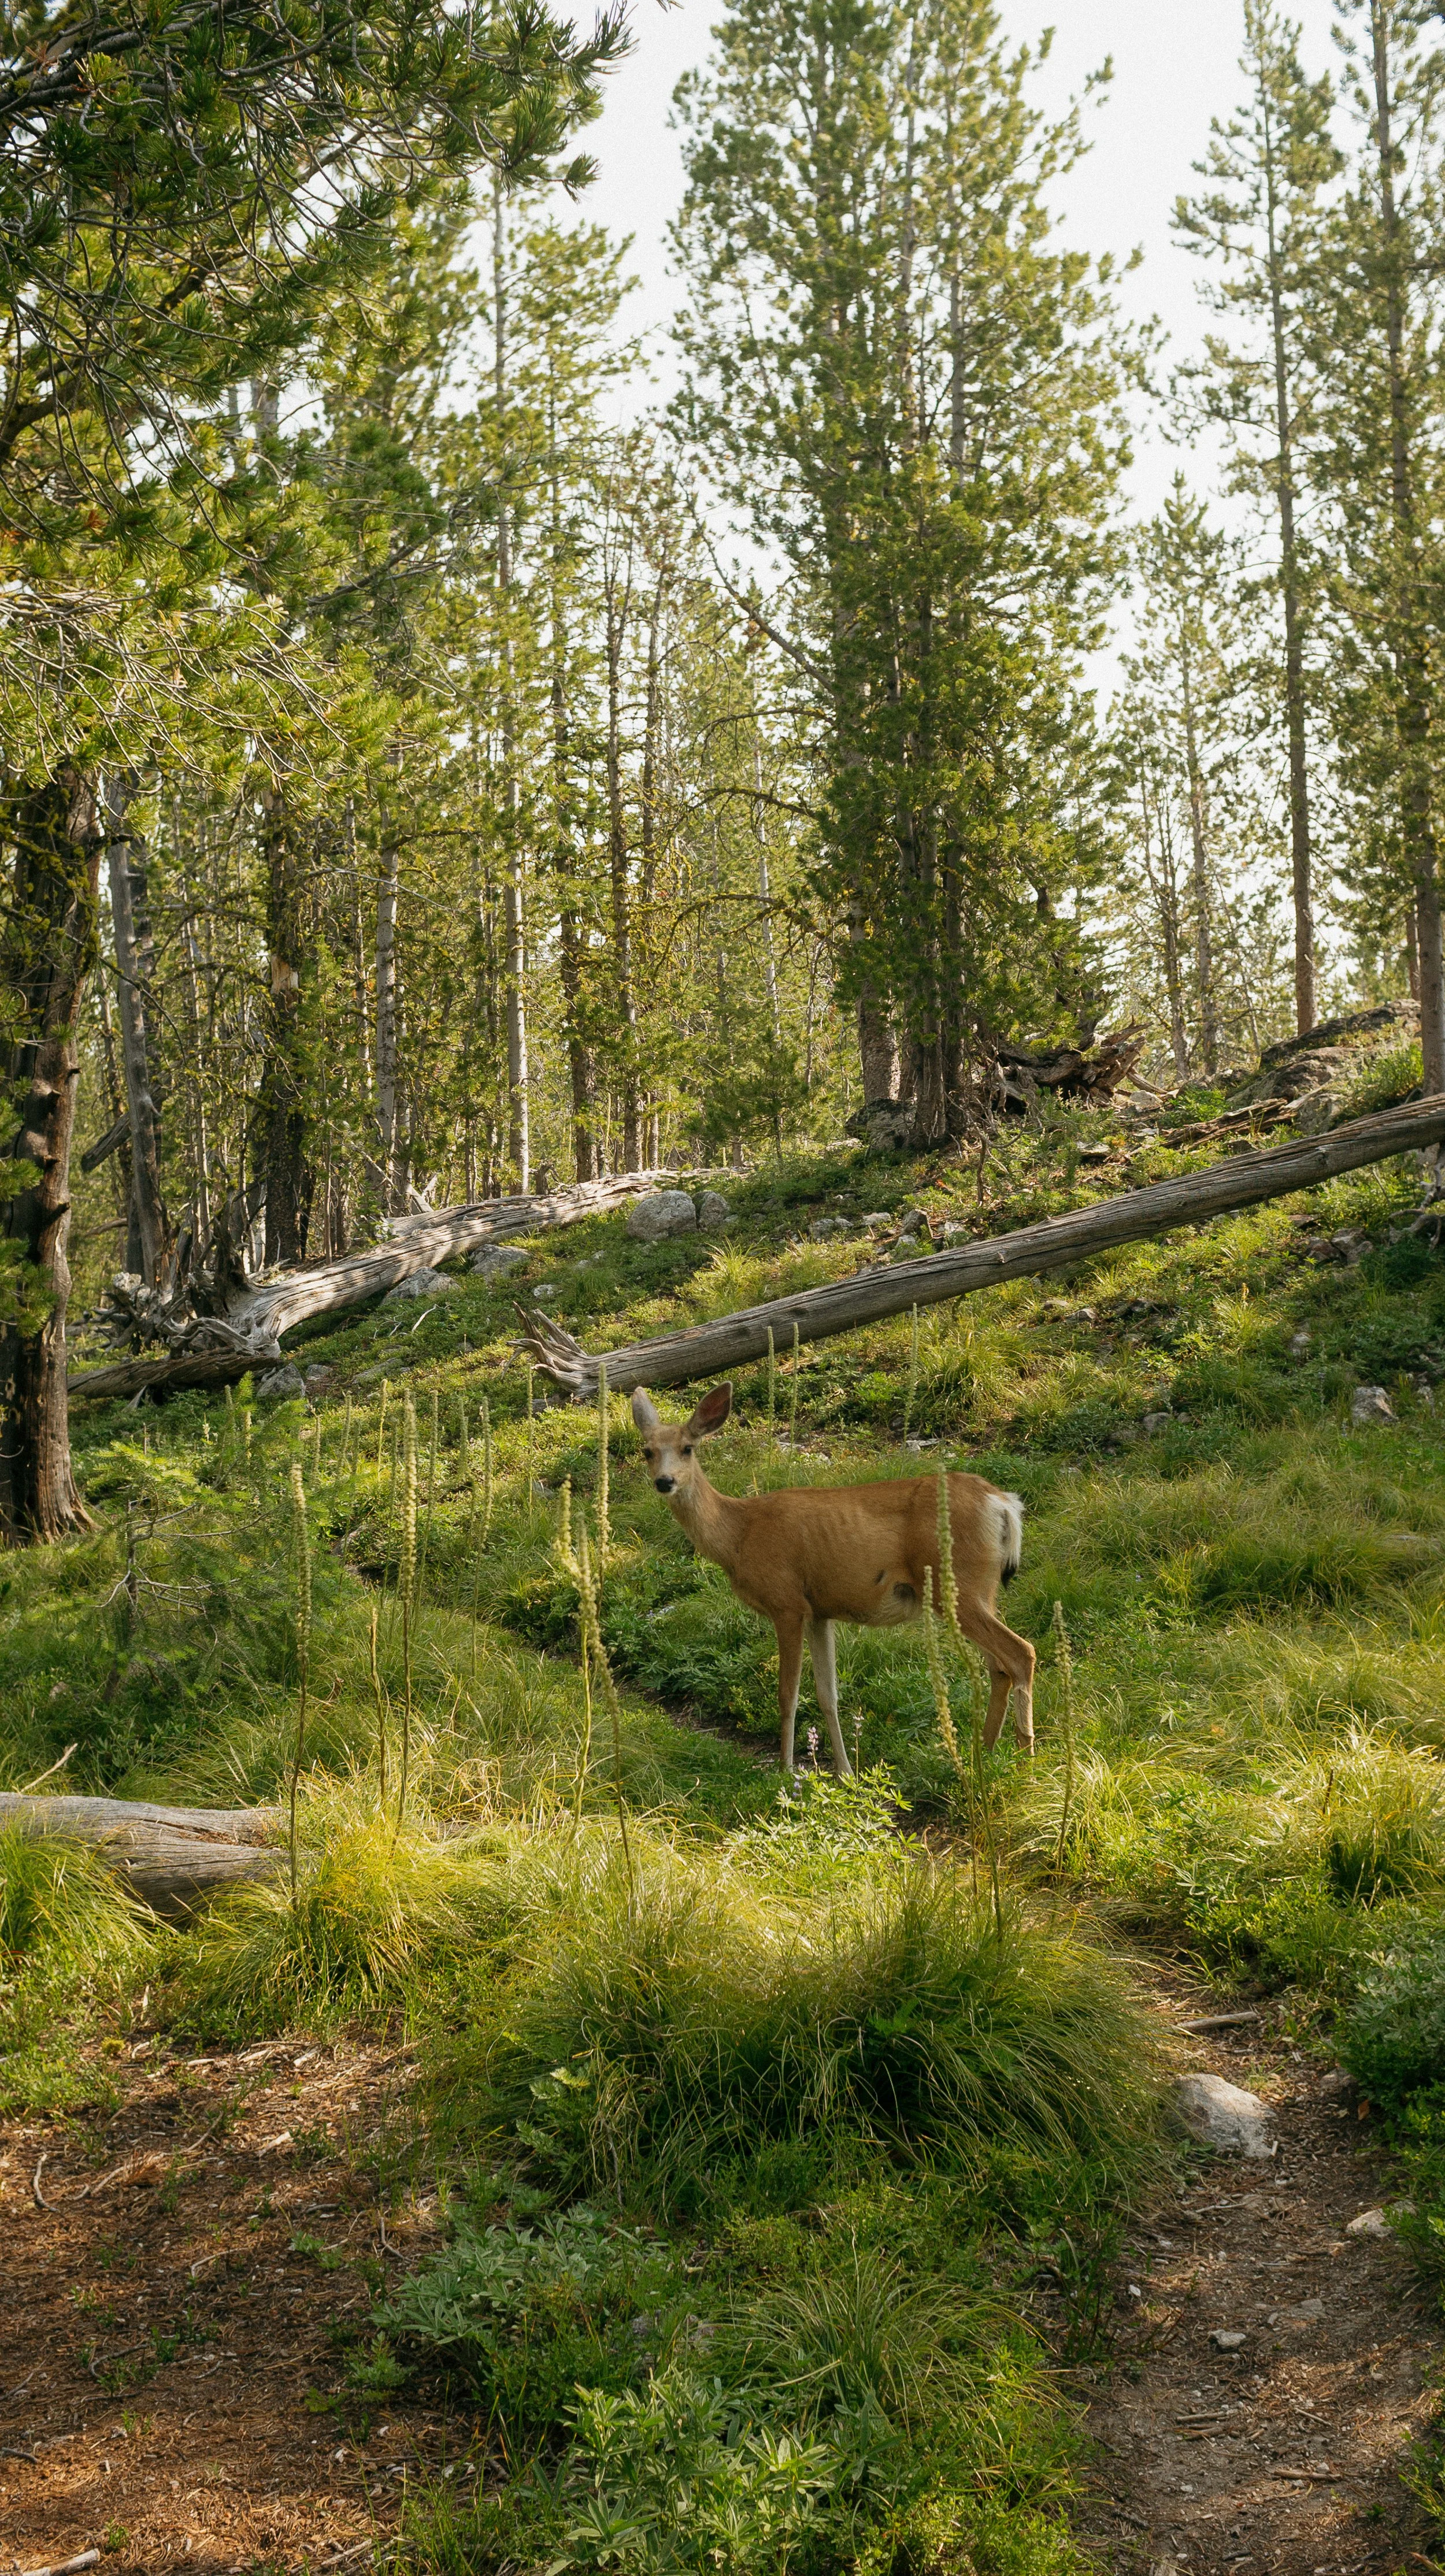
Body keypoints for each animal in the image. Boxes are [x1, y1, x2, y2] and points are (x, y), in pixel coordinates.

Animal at [631, 1382, 1035, 1776]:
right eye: (647, 1451)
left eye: (687, 1448)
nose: (665, 1481)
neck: (739, 1536)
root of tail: (1003, 1503)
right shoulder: (819, 1611)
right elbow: (828, 1694)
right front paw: (845, 1772)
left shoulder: (787, 1603)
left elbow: (788, 1694)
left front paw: (785, 1770)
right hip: (981, 1590)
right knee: (998, 1666)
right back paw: (985, 1754)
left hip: (955, 1584)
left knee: (1020, 1652)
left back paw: (1025, 1761)